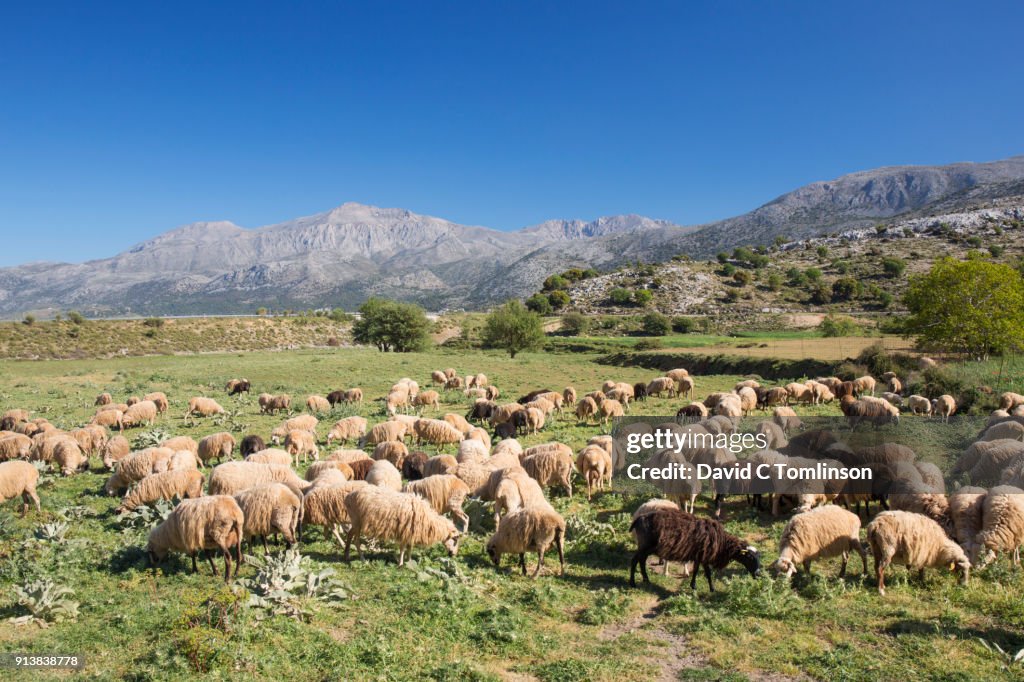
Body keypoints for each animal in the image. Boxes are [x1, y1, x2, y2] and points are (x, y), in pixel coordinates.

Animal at [626, 503, 765, 589]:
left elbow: (697, 570)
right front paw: (712, 588)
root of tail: (639, 518)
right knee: (634, 560)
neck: (722, 543)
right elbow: (708, 572)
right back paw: (632, 583)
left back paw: (646, 580)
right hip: (644, 545)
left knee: (641, 561)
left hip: (647, 548)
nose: (758, 574)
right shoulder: (704, 555)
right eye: (750, 557)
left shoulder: (699, 555)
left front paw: (694, 586)